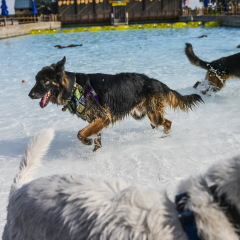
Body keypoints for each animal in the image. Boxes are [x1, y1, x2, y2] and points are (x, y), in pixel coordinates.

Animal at [28, 57, 204, 151]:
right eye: (36, 80)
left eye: (44, 81)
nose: (30, 95)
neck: (74, 88)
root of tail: (155, 81)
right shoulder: (97, 121)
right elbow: (95, 140)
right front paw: (94, 152)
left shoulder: (103, 118)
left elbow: (80, 133)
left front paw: (87, 142)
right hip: (142, 114)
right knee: (159, 123)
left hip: (153, 115)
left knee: (167, 122)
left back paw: (165, 136)